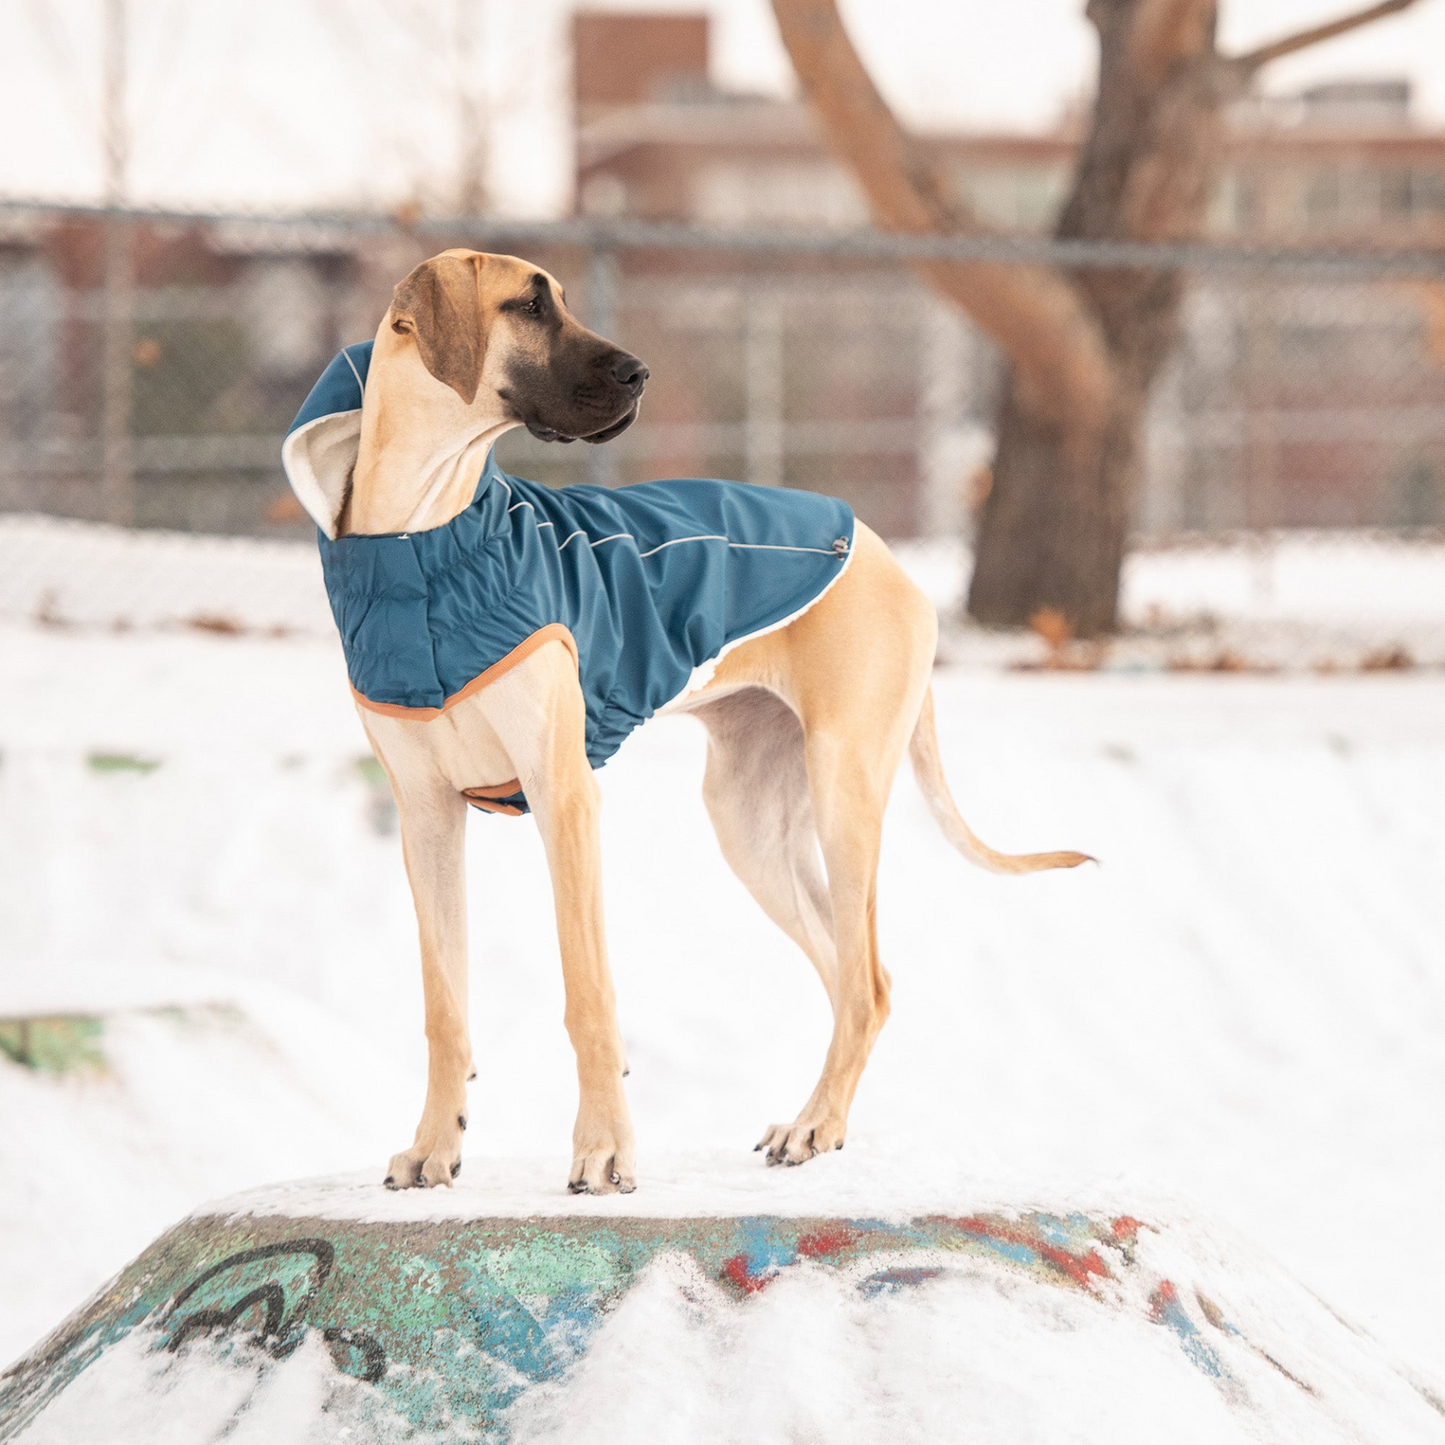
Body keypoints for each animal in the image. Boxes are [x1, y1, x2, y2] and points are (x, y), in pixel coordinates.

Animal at [278, 248, 1086, 1196]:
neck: (420, 540)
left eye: (559, 300)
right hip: (750, 822)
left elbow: (587, 994)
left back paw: (814, 1124)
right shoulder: (426, 816)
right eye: (527, 306)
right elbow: (444, 1003)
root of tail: (885, 554)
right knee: (856, 974)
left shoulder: (563, 797)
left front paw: (603, 1148)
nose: (639, 373)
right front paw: (437, 1143)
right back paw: (822, 1121)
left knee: (862, 980)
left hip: (844, 790)